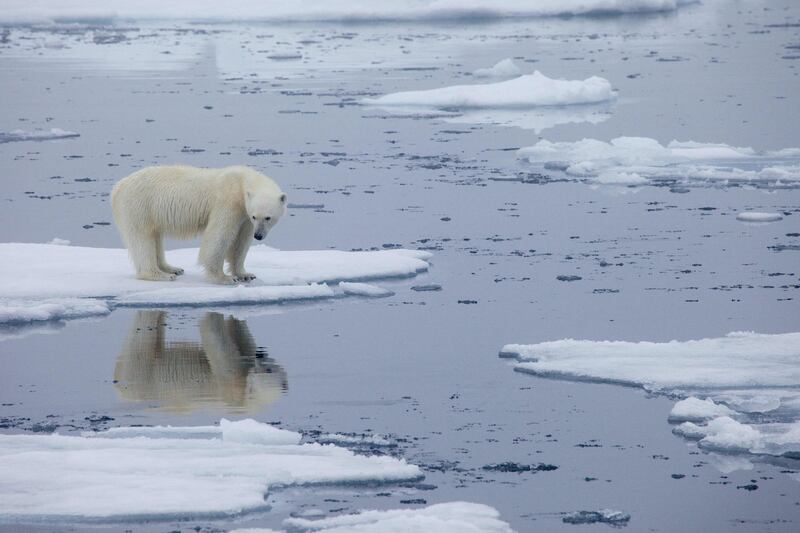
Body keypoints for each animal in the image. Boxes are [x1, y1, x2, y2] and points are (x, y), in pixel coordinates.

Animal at [111, 165, 286, 282]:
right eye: (256, 216)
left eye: (268, 217)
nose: (259, 235)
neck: (241, 181)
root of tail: (118, 187)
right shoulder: (228, 202)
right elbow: (219, 236)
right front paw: (224, 277)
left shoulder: (244, 215)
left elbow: (241, 242)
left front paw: (245, 274)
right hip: (139, 205)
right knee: (142, 238)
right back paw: (160, 274)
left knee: (155, 237)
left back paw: (173, 268)